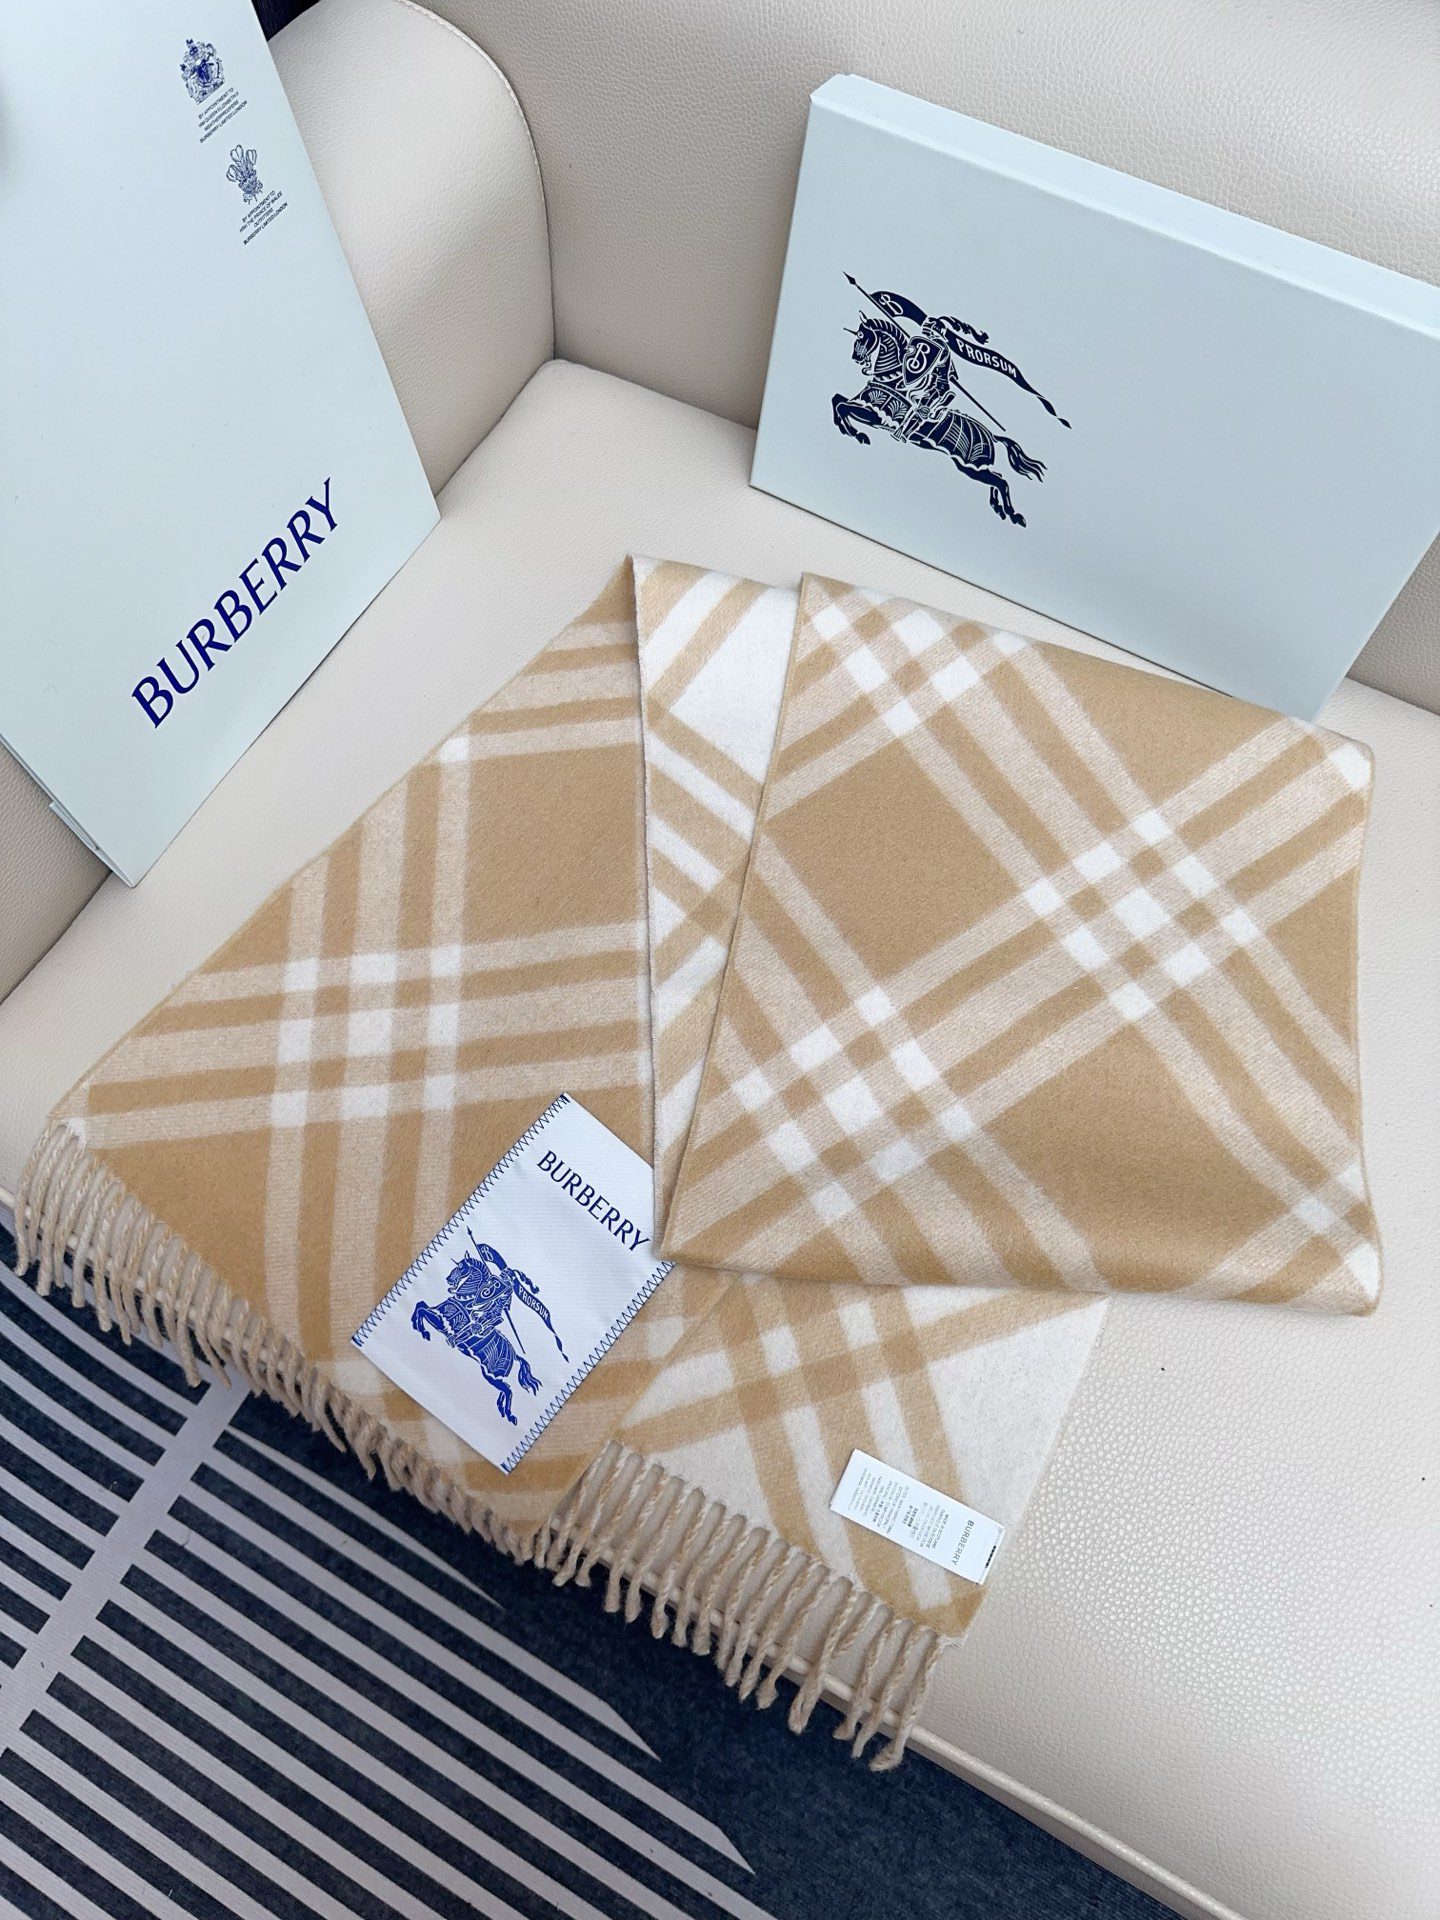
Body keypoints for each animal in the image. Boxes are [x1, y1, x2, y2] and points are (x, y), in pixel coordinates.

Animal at [832, 314, 1047, 526]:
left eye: (862, 336)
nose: (856, 358)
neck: (893, 380)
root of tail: (992, 436)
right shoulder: (863, 405)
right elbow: (837, 400)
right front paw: (846, 429)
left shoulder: (876, 415)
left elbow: (842, 407)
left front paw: (856, 434)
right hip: (977, 468)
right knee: (998, 479)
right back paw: (998, 507)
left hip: (970, 467)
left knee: (1001, 482)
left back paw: (1013, 514)